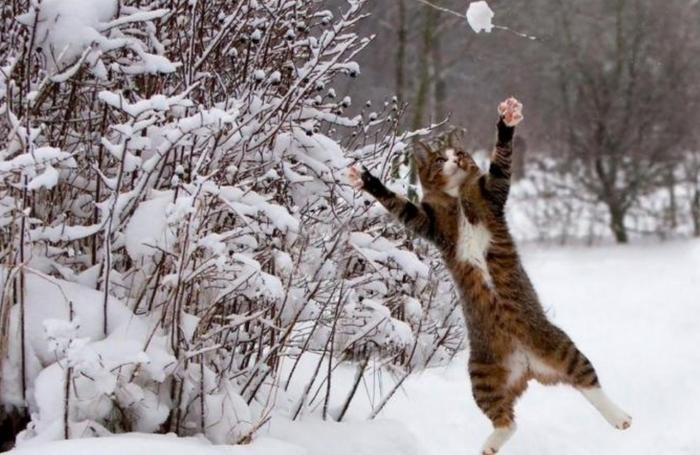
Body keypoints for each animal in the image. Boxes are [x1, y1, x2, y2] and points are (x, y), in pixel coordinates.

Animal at [348, 99, 632, 455]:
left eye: (460, 152)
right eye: (440, 159)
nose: (455, 159)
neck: (458, 196)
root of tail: (528, 367)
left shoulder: (492, 193)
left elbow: (501, 164)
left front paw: (507, 120)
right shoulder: (429, 223)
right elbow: (400, 206)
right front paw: (367, 180)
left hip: (559, 345)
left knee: (589, 384)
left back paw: (620, 417)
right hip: (481, 377)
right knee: (507, 420)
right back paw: (491, 444)